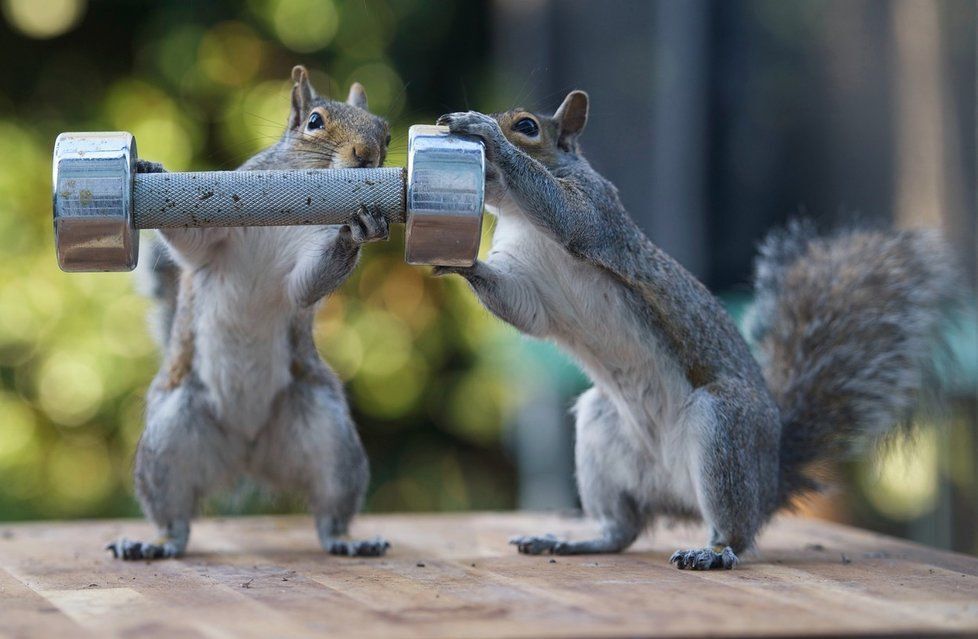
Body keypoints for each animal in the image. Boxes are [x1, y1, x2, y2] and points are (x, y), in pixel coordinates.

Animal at [108, 66, 390, 560]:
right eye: (314, 121)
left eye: (386, 133)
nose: (368, 155)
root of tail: (247, 453)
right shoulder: (217, 236)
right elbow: (191, 242)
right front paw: (151, 170)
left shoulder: (300, 274)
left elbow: (307, 284)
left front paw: (357, 230)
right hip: (169, 439)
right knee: (174, 517)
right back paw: (155, 543)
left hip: (329, 436)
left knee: (330, 509)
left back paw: (347, 539)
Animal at [438, 94, 956, 568]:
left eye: (527, 126)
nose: (486, 133)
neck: (521, 219)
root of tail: (769, 479)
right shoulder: (531, 289)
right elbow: (522, 308)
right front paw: (454, 262)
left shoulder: (598, 210)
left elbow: (567, 216)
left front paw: (485, 132)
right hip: (602, 431)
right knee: (622, 529)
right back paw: (575, 541)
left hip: (724, 429)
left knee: (736, 530)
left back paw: (714, 551)